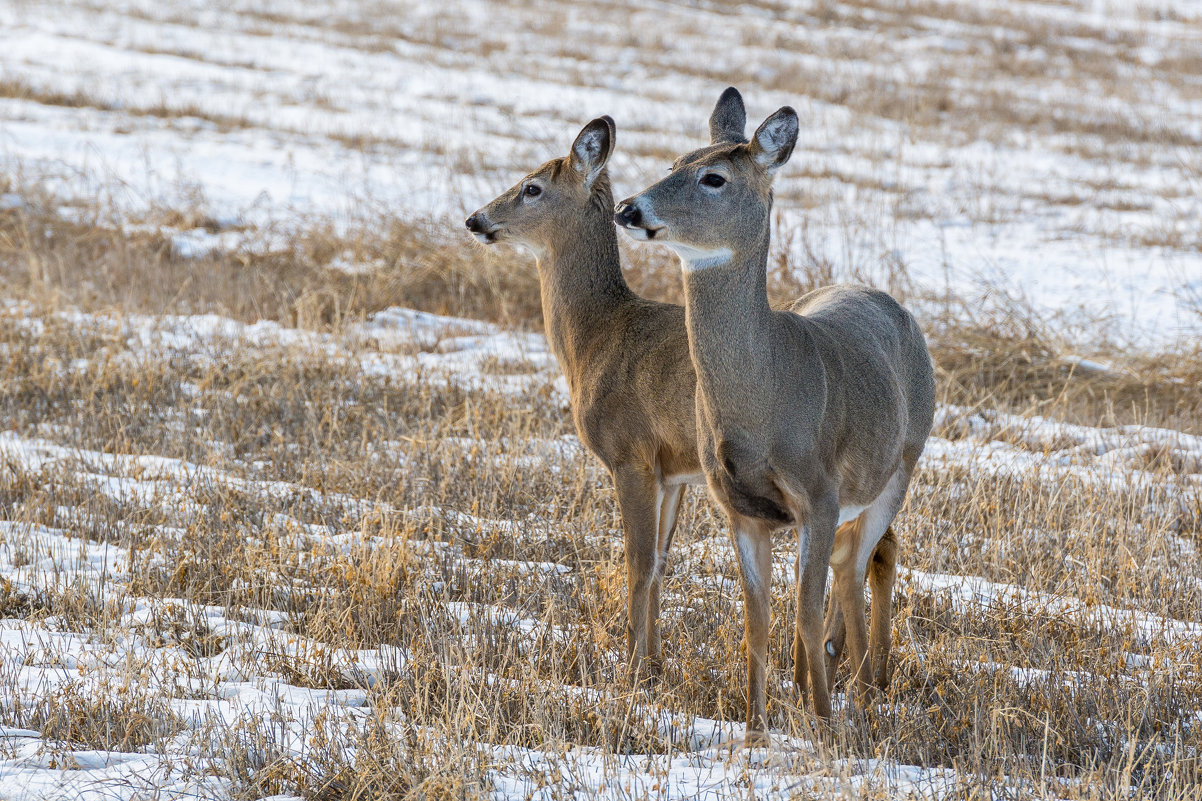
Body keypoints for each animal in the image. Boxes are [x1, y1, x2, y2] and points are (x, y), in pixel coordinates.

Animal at [461, 115, 701, 678]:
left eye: (532, 187)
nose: (475, 219)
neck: (597, 338)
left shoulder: (631, 452)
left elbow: (638, 562)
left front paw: (633, 671)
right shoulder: (674, 470)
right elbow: (661, 562)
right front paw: (655, 666)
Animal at [615, 84, 932, 740]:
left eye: (713, 178)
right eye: (673, 162)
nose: (629, 209)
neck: (764, 399)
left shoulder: (819, 493)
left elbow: (806, 611)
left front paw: (823, 724)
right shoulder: (738, 507)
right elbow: (755, 622)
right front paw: (755, 726)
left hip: (899, 469)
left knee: (853, 566)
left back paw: (859, 693)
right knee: (850, 562)